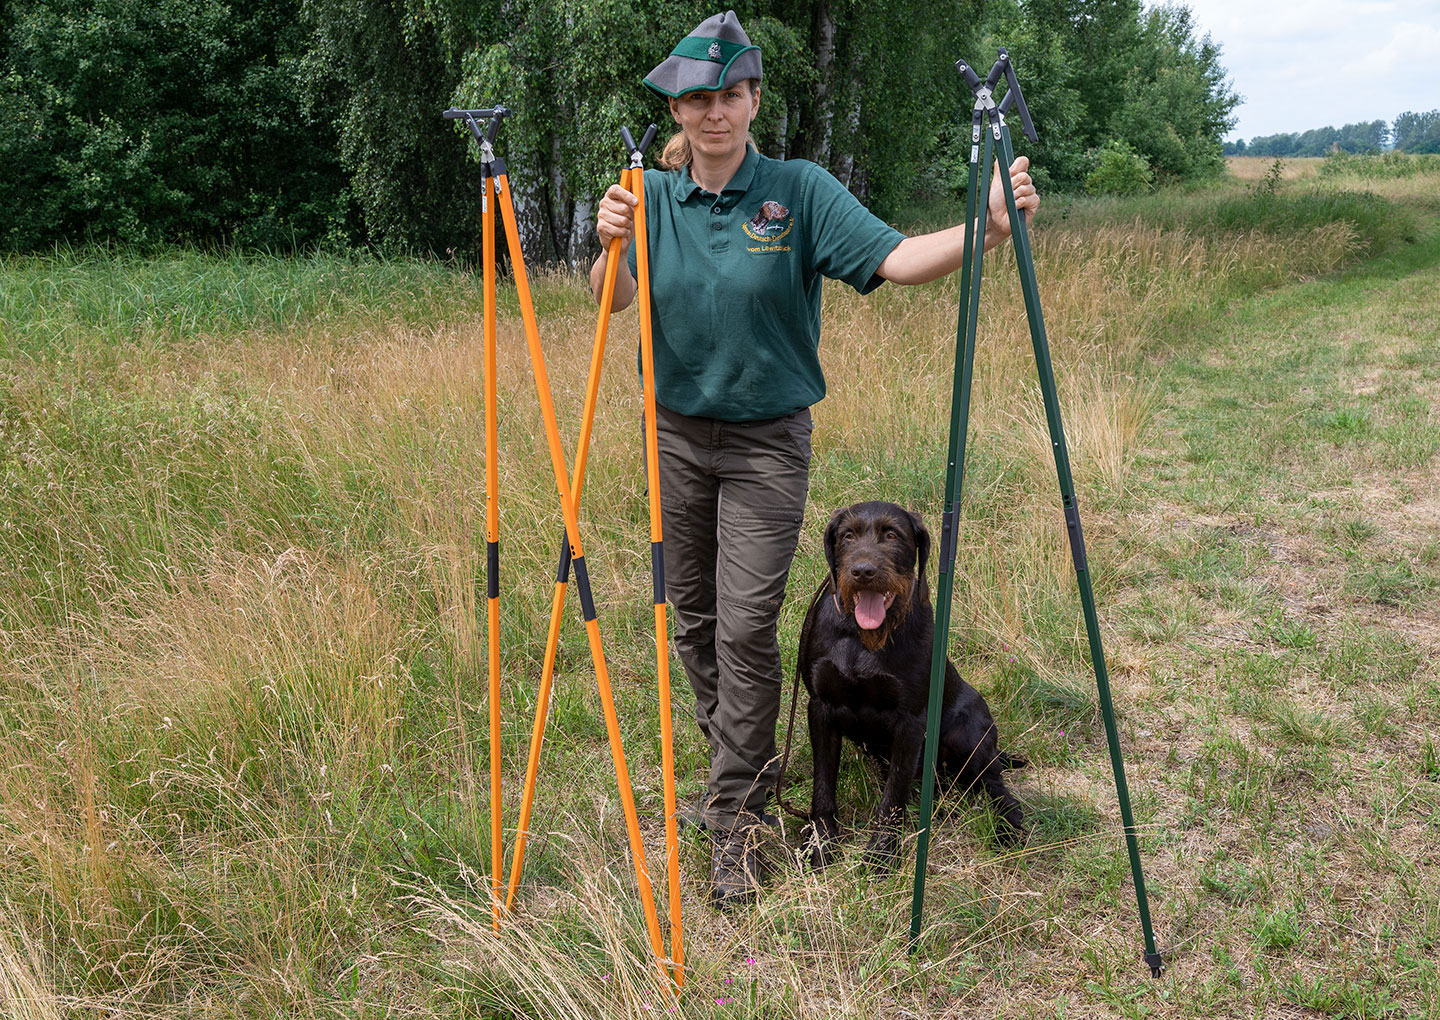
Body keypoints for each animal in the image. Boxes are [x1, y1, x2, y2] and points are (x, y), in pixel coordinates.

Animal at [800, 498, 1025, 864]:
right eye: (847, 536)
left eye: (892, 535)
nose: (863, 571)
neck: (861, 638)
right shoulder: (821, 709)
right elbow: (823, 785)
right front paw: (822, 842)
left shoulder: (910, 722)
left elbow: (893, 797)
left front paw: (882, 853)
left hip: (969, 736)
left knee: (994, 782)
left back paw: (1007, 823)